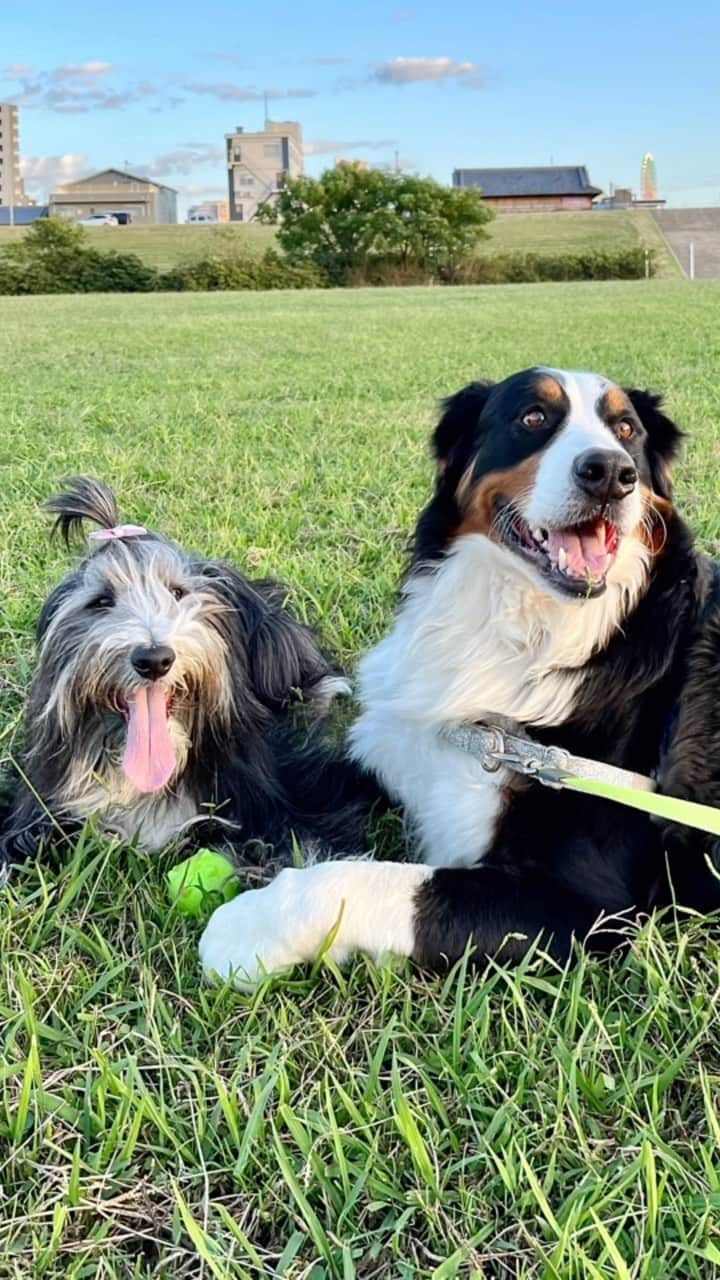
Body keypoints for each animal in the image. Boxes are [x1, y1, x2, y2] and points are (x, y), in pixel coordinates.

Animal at [198, 366, 717, 983]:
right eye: (533, 417)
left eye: (626, 429)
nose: (612, 474)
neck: (524, 631)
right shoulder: (398, 744)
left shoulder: (585, 903)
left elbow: (387, 885)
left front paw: (246, 926)